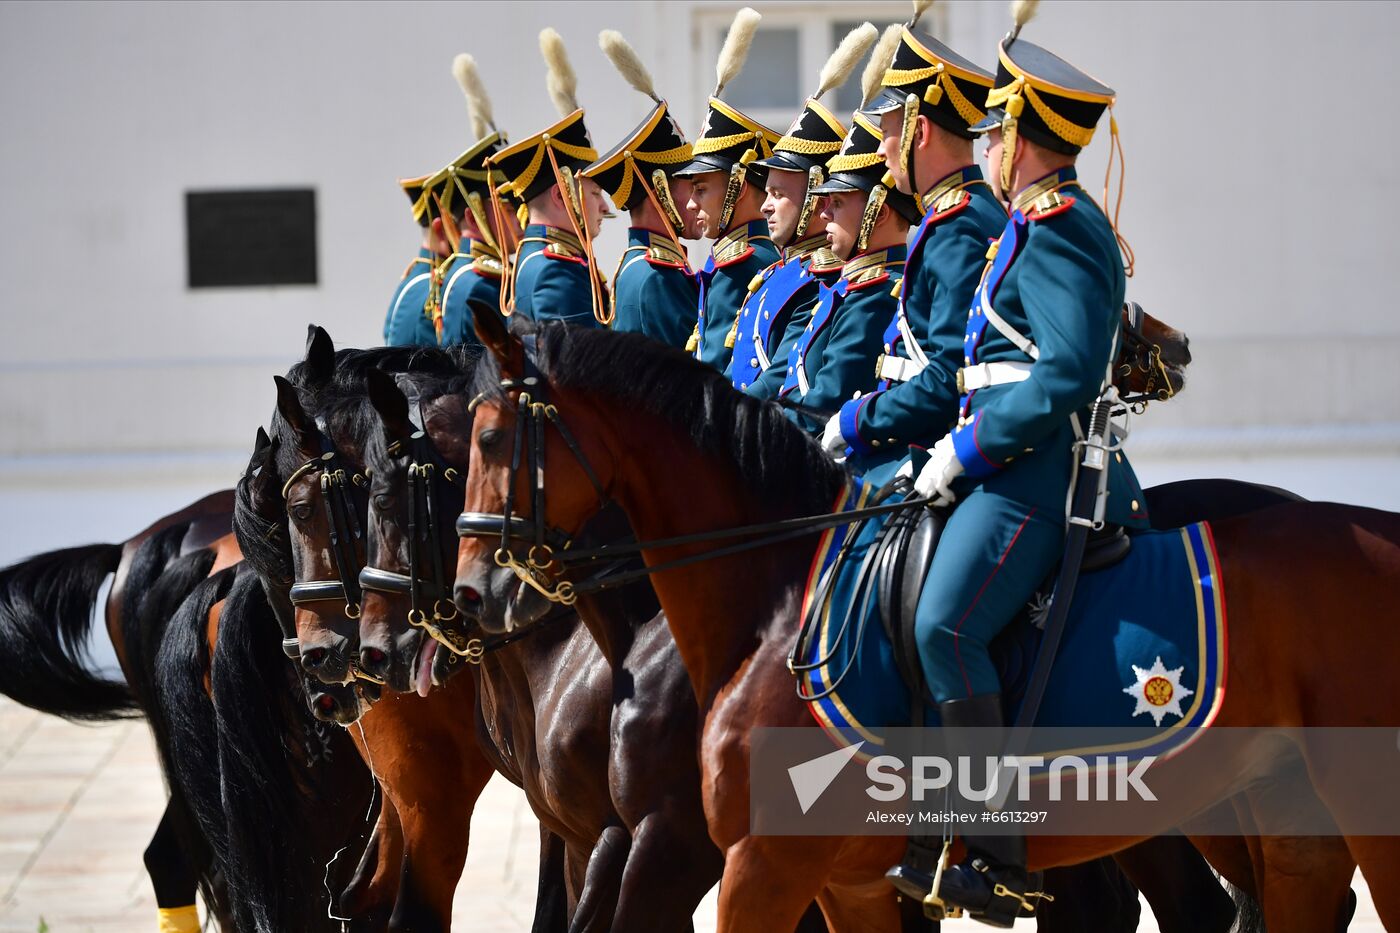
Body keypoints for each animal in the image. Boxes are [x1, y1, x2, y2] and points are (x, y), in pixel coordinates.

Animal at [453, 313, 1394, 930]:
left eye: (492, 438)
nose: (472, 595)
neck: (779, 604)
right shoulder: (843, 880)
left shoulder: (742, 859)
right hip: (1283, 819)